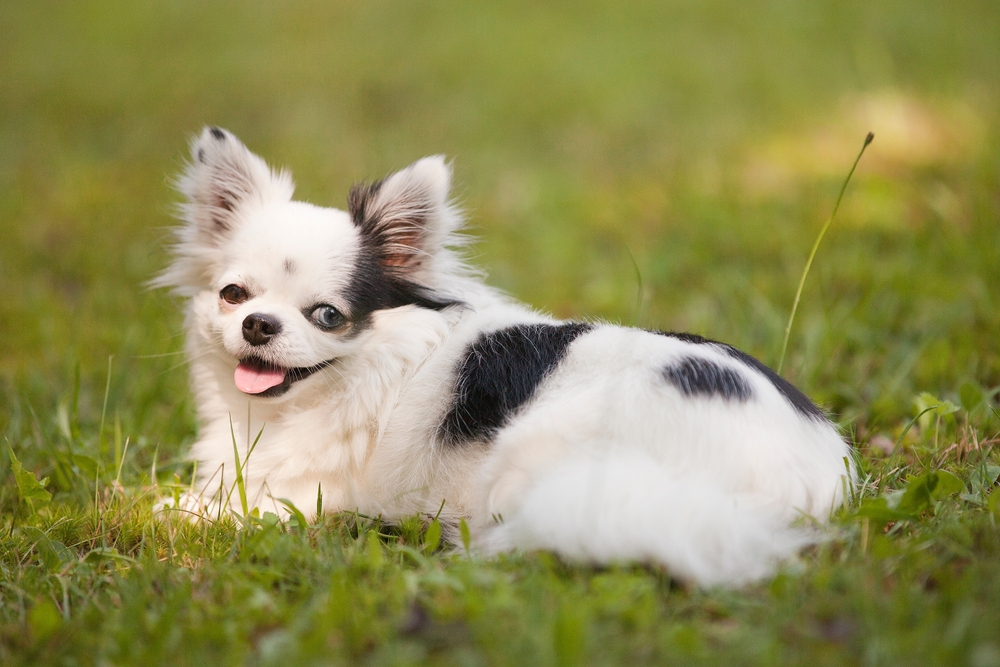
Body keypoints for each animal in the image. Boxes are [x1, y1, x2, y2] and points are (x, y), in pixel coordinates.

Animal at [156, 128, 852, 588]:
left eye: (327, 316)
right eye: (233, 295)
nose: (258, 324)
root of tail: (810, 474)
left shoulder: (304, 496)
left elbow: (213, 510)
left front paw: (160, 510)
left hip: (542, 459)